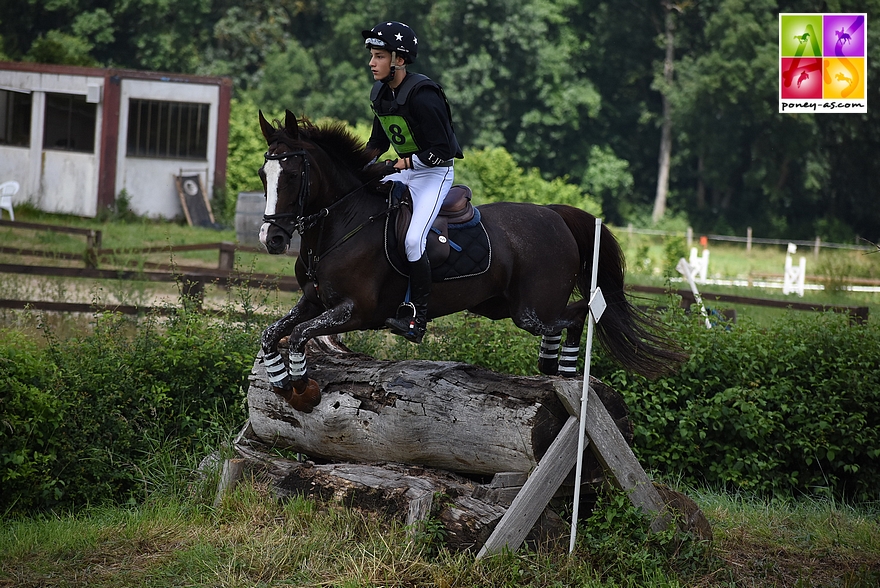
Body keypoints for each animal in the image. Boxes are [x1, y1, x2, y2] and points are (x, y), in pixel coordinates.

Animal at [254, 111, 688, 414]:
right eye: (263, 173)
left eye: (292, 175)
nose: (272, 239)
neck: (342, 223)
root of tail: (553, 214)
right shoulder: (313, 301)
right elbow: (272, 333)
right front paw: (281, 381)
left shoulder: (356, 311)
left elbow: (299, 335)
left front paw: (303, 389)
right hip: (500, 306)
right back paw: (550, 363)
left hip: (531, 308)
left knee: (580, 312)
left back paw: (563, 367)